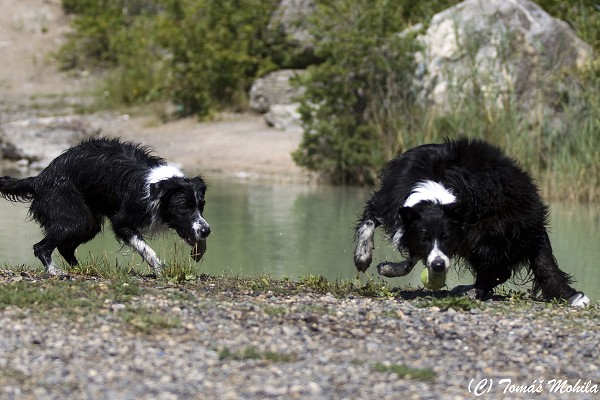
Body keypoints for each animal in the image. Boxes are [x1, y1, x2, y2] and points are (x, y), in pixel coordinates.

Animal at [0, 138, 211, 276]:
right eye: (183, 207)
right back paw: (54, 271)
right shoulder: (122, 222)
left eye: (201, 206)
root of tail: (39, 179)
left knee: (65, 247)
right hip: (74, 217)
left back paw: (80, 268)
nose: (206, 231)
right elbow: (145, 248)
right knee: (41, 247)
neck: (156, 186)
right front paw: (159, 269)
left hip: (88, 224)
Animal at [354, 138, 588, 306]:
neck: (435, 189)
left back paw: (472, 291)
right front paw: (367, 260)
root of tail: (537, 224)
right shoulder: (390, 199)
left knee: (496, 267)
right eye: (424, 238)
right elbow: (372, 221)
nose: (438, 266)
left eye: (447, 238)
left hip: (493, 228)